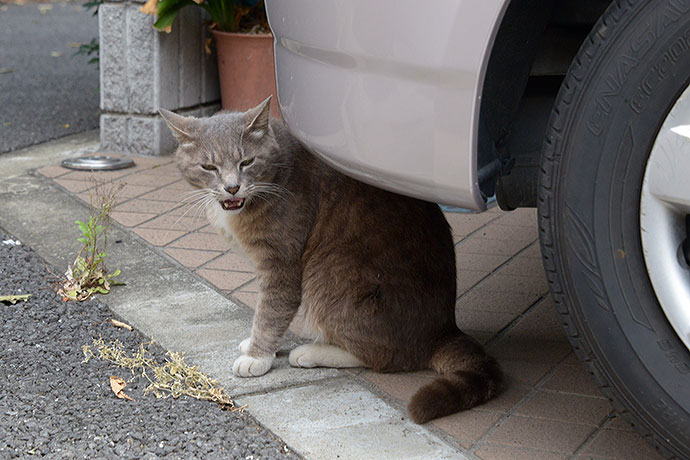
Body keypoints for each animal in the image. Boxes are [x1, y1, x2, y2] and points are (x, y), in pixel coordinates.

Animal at [158, 98, 500, 424]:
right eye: (208, 166)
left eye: (247, 162)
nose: (232, 187)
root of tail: (443, 330)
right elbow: (267, 311)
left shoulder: (281, 264)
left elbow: (271, 311)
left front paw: (257, 356)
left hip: (329, 271)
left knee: (386, 356)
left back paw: (312, 352)